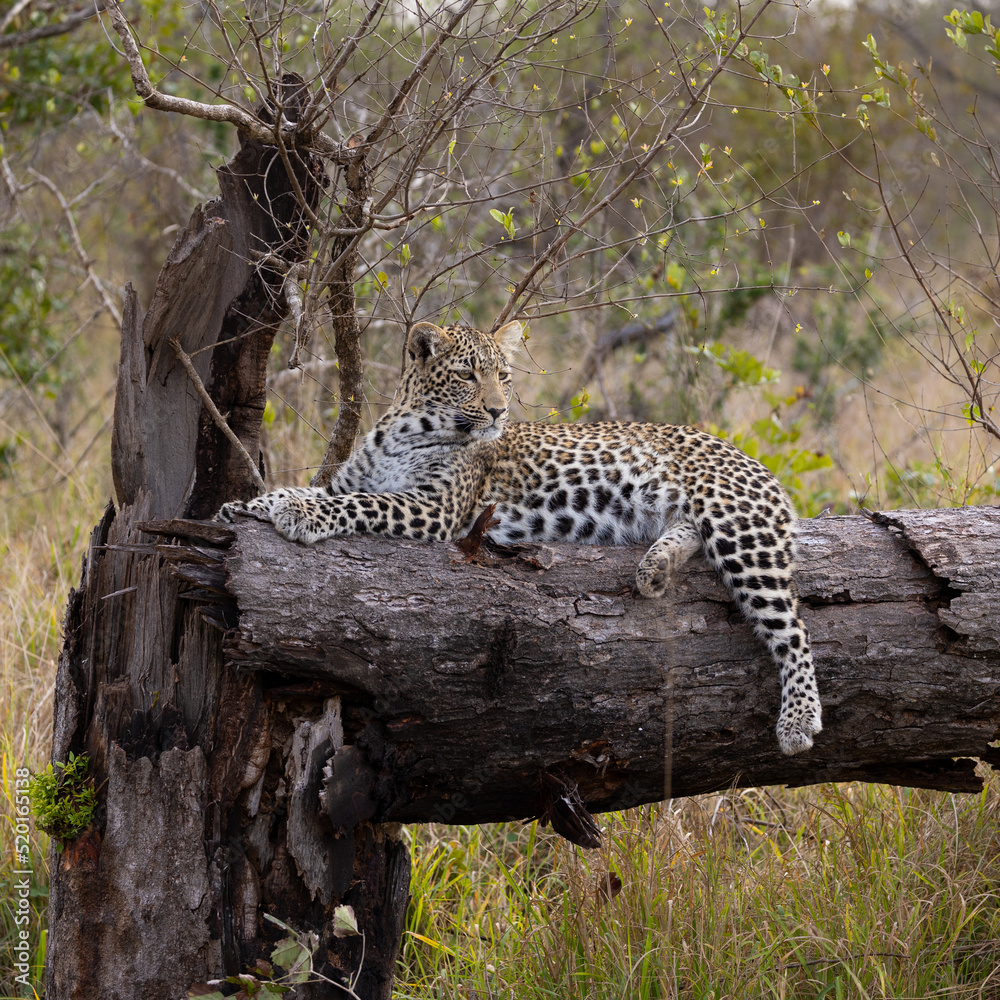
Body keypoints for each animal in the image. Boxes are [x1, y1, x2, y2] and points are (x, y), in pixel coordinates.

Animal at [217, 321, 822, 755]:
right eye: (467, 375)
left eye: (504, 377)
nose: (497, 410)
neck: (405, 430)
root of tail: (756, 462)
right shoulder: (357, 479)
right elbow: (318, 490)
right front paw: (242, 507)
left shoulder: (433, 509)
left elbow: (354, 504)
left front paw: (296, 512)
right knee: (692, 535)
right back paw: (655, 570)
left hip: (738, 525)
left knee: (793, 629)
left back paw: (799, 718)